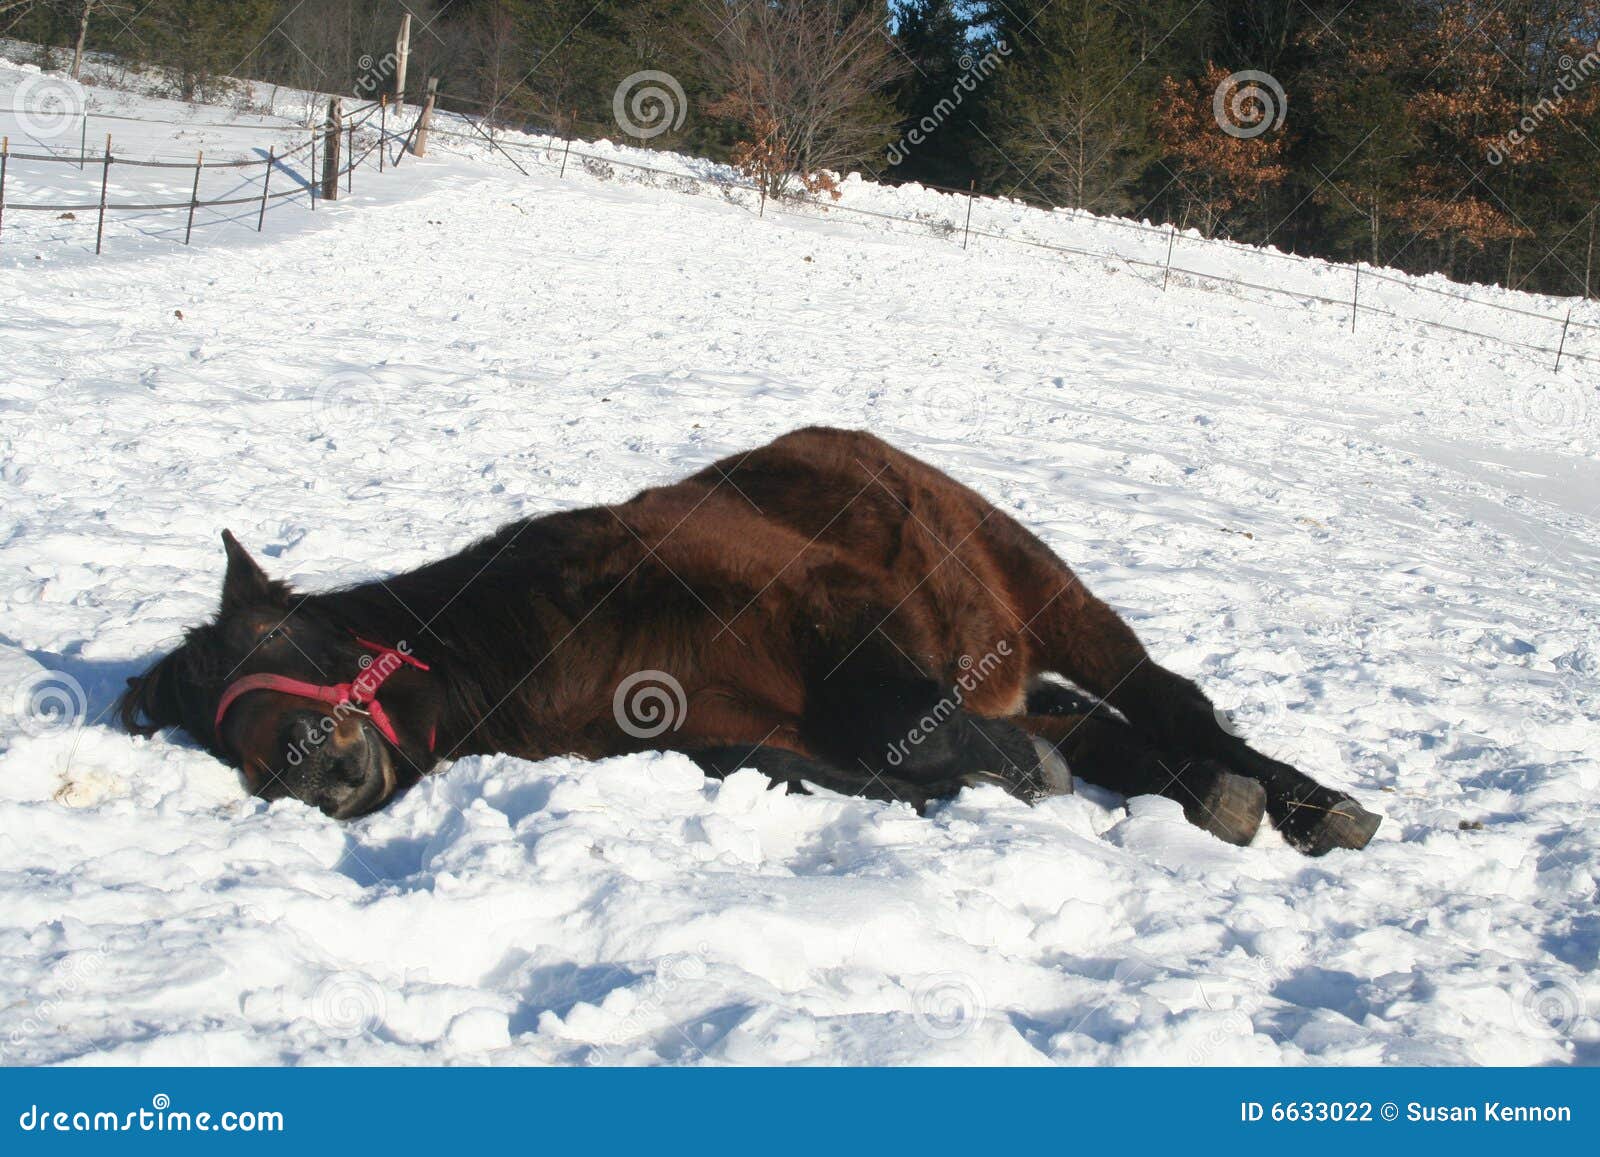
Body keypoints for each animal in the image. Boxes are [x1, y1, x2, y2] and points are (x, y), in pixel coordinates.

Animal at [118, 426, 1381, 855]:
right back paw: (1222, 795)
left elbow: (913, 732)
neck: (561, 626)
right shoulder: (709, 736)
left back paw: (1304, 803)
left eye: (285, 634)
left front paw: (1002, 773)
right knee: (1125, 735)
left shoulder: (833, 617)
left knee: (1165, 696)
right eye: (218, 733)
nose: (307, 769)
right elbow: (814, 765)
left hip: (1039, 588)